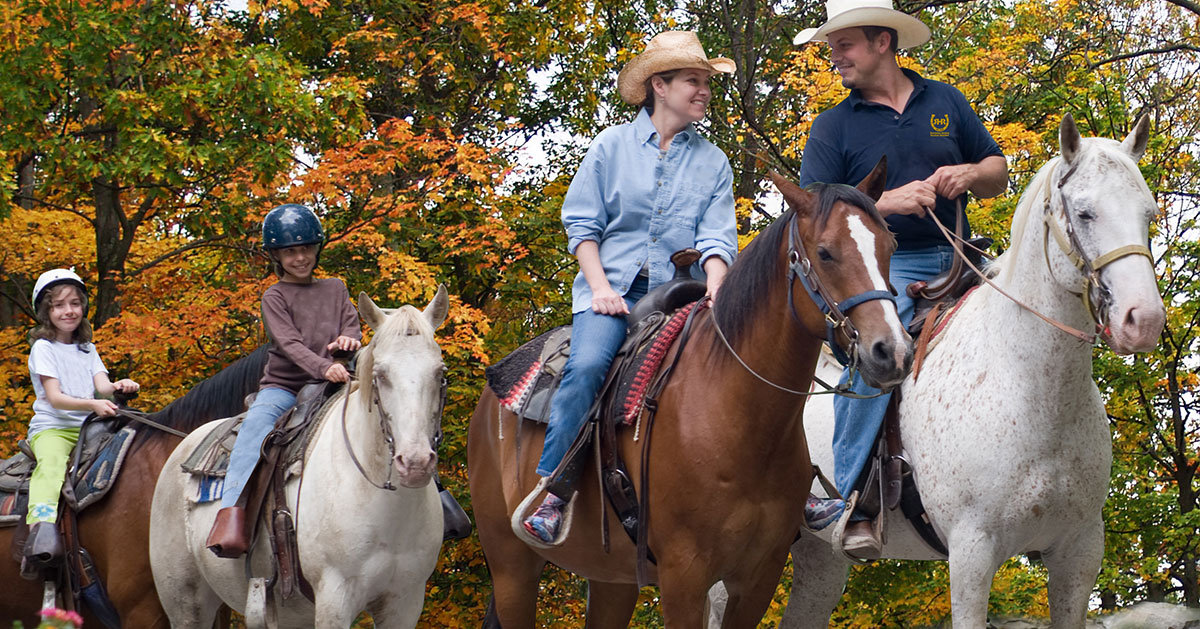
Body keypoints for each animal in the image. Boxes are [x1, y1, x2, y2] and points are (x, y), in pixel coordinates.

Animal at [465, 163, 907, 629]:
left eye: (890, 246)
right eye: (825, 253)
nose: (892, 351)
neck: (737, 417)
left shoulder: (758, 578)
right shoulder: (685, 576)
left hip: (612, 578)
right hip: (512, 568)